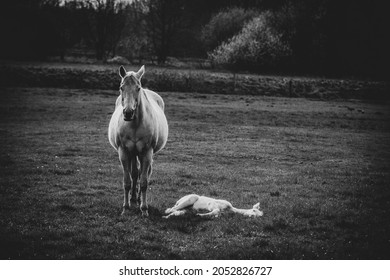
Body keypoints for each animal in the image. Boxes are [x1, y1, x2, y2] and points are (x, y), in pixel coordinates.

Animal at [108, 65, 168, 217]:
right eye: (121, 87)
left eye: (138, 88)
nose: (128, 113)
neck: (134, 124)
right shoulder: (124, 152)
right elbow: (127, 181)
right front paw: (125, 208)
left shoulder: (146, 152)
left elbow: (144, 181)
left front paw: (144, 209)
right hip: (133, 153)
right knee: (135, 174)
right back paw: (133, 198)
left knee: (143, 173)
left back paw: (139, 199)